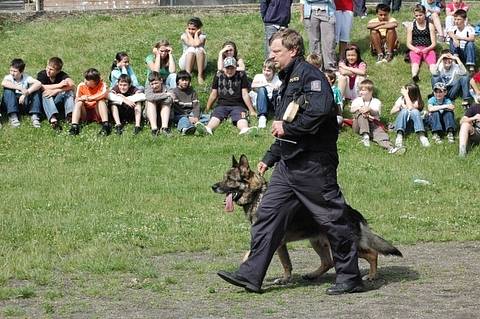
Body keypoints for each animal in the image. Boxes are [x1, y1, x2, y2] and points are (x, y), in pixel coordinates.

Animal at [212, 155, 404, 284]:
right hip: (317, 242)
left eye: (229, 179)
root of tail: (352, 211)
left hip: (343, 244)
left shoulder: (272, 240)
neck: (257, 195)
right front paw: (284, 279)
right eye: (224, 177)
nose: (213, 186)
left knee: (372, 254)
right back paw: (313, 275)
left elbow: (255, 256)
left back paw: (372, 275)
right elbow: (283, 263)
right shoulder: (278, 243)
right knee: (328, 262)